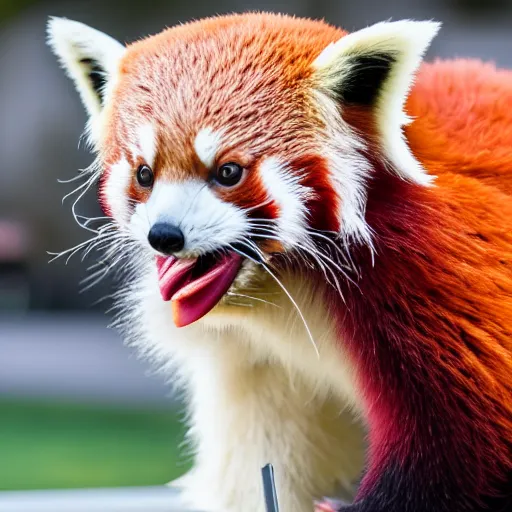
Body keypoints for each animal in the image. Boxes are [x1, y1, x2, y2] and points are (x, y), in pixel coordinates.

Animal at [48, 12, 512, 512]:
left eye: (228, 172)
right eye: (144, 174)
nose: (165, 235)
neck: (281, 286)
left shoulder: (429, 271)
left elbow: (467, 447)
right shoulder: (258, 364)